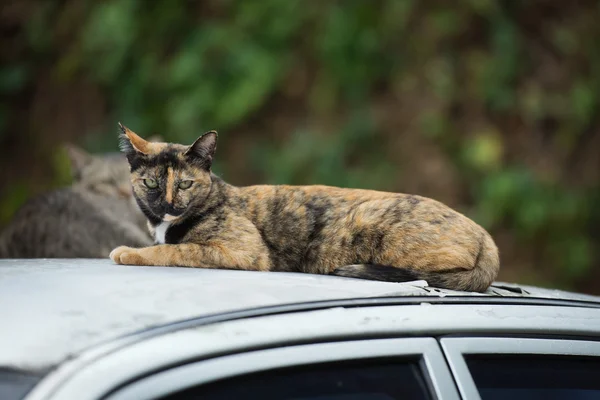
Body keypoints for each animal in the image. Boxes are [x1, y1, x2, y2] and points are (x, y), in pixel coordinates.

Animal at [110, 123, 500, 292]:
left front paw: (129, 252)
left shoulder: (243, 251)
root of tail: (486, 236)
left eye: (185, 184)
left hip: (376, 226)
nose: (168, 204)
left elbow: (175, 251)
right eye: (151, 183)